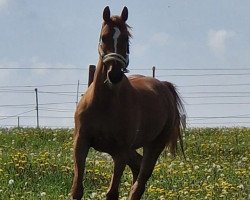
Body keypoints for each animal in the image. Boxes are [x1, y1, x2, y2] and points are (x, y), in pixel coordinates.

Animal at [71, 6, 185, 200]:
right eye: (104, 37)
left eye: (126, 38)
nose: (114, 74)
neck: (104, 103)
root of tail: (164, 86)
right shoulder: (81, 142)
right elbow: (77, 190)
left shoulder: (121, 151)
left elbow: (112, 193)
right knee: (137, 168)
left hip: (153, 146)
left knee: (139, 182)